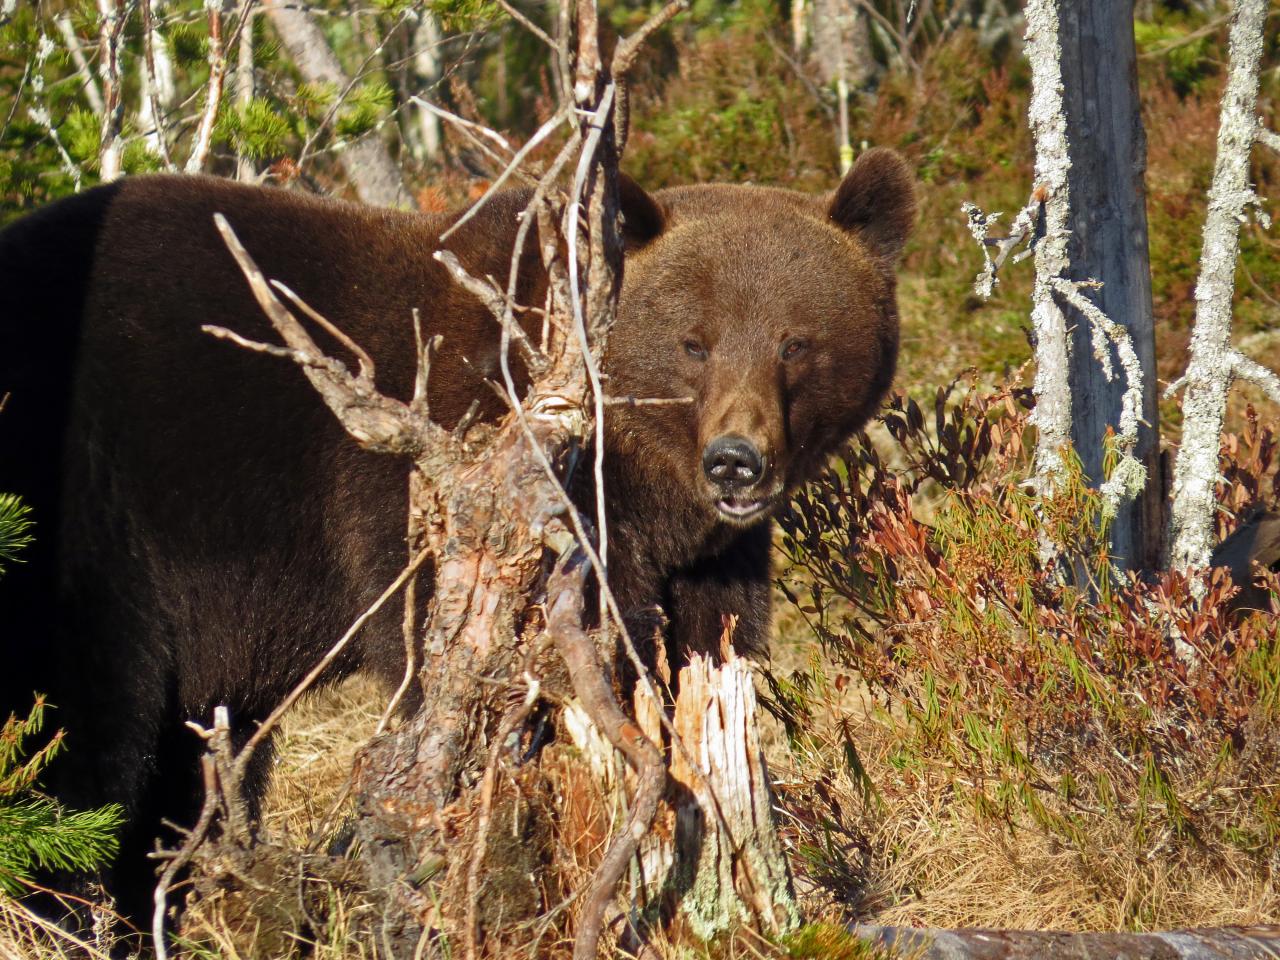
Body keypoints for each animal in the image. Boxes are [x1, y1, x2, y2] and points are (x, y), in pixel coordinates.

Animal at [0, 148, 916, 926]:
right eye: (694, 342)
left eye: (797, 342)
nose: (736, 461)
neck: (639, 482)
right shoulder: (470, 493)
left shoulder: (710, 561)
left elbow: (706, 646)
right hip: (87, 525)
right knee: (81, 745)